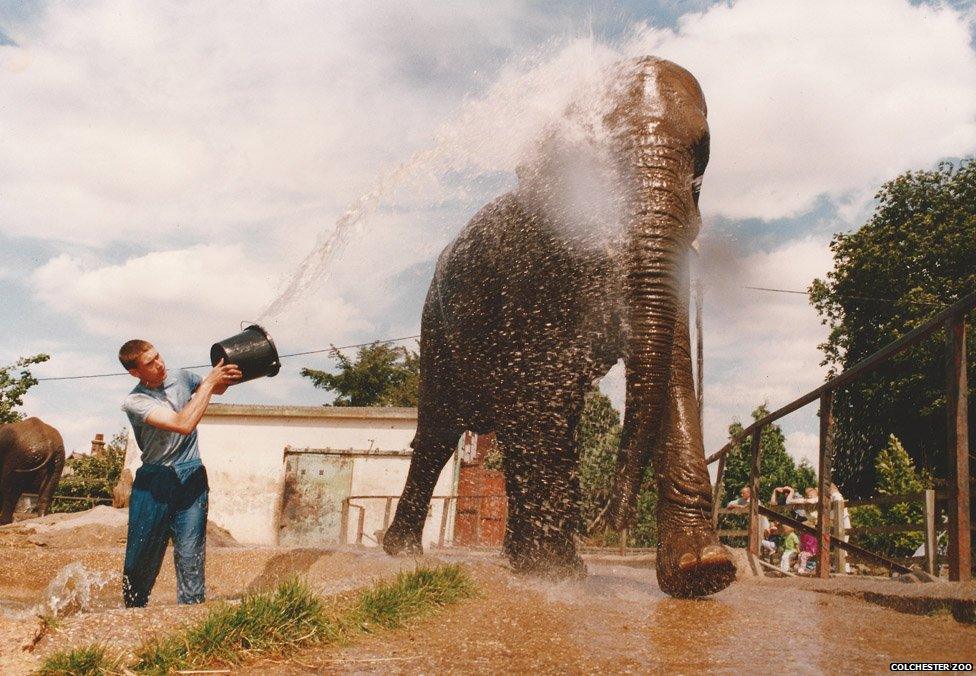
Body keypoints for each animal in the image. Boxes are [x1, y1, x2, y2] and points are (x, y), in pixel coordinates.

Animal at [382, 56, 732, 596]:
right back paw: (406, 552)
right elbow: (542, 385)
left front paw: (703, 573)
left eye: (703, 160)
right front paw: (557, 572)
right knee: (441, 428)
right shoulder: (531, 266)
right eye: (597, 165)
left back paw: (527, 558)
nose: (608, 521)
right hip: (435, 323)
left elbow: (672, 376)